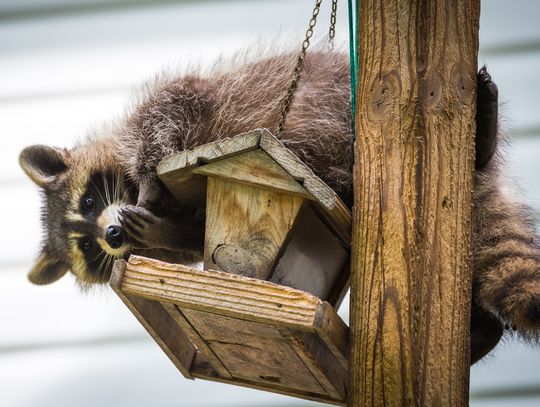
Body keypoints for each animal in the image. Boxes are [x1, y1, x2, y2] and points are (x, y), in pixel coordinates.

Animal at [19, 50, 540, 364]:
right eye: (87, 249)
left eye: (90, 200)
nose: (110, 236)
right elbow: (193, 236)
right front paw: (167, 232)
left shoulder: (174, 106)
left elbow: (168, 111)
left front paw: (147, 180)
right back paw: (481, 333)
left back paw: (483, 138)